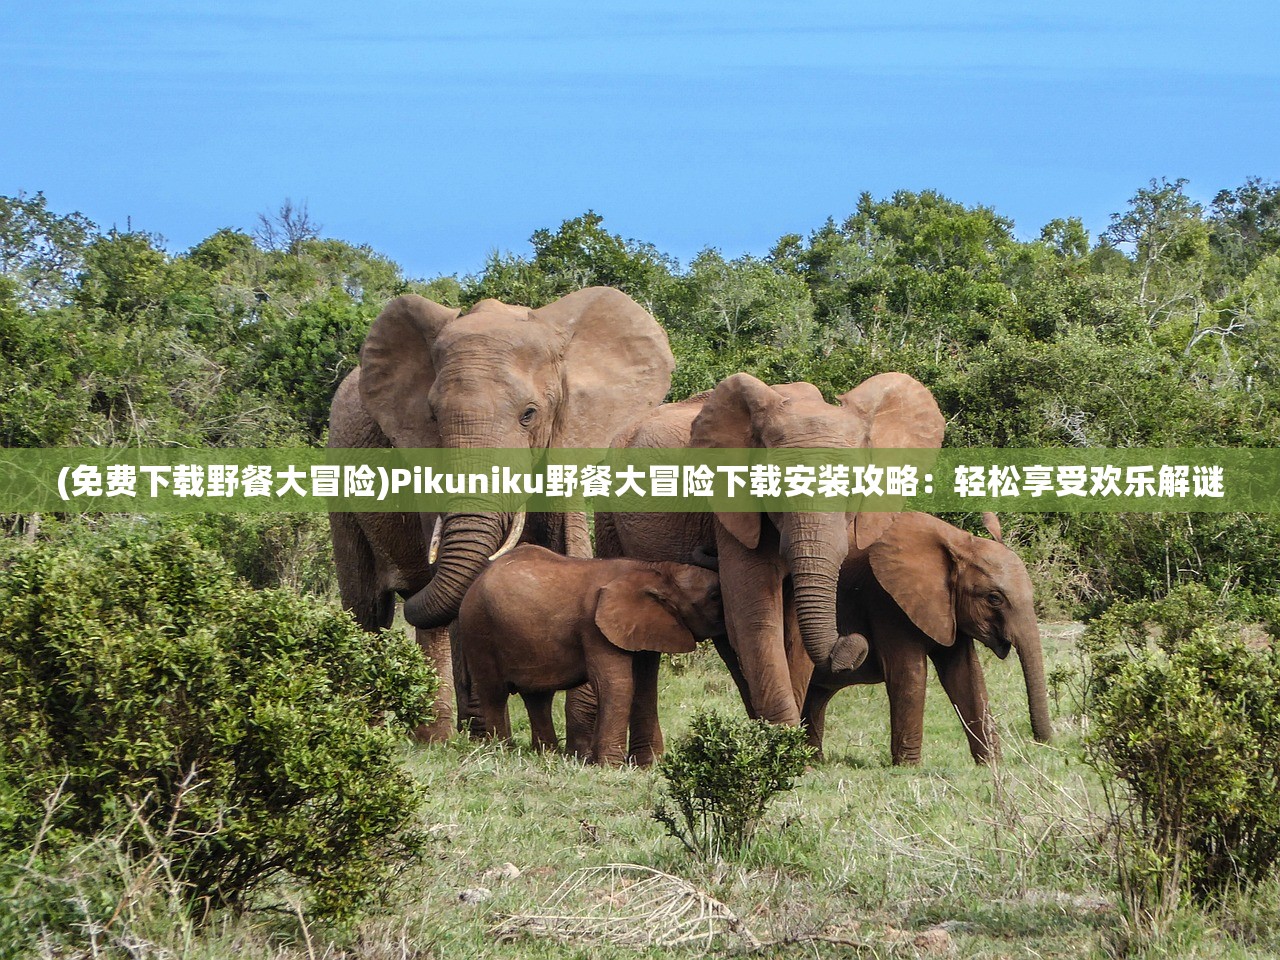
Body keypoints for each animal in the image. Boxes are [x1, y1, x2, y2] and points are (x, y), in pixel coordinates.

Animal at [325, 284, 675, 737]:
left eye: (529, 414)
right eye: (433, 417)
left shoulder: (568, 434)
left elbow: (572, 550)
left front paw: (580, 738)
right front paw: (486, 735)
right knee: (368, 609)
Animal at [455, 547, 727, 768]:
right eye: (714, 596)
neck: (656, 570)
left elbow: (644, 688)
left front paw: (649, 766)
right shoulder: (594, 626)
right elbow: (616, 685)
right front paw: (611, 767)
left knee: (537, 697)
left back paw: (546, 754)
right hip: (477, 628)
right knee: (494, 693)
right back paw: (502, 751)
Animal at [593, 373, 947, 727]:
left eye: (853, 489)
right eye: (773, 488)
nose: (853, 644)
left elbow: (792, 634)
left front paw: (787, 739)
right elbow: (756, 617)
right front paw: (786, 739)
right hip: (608, 514)